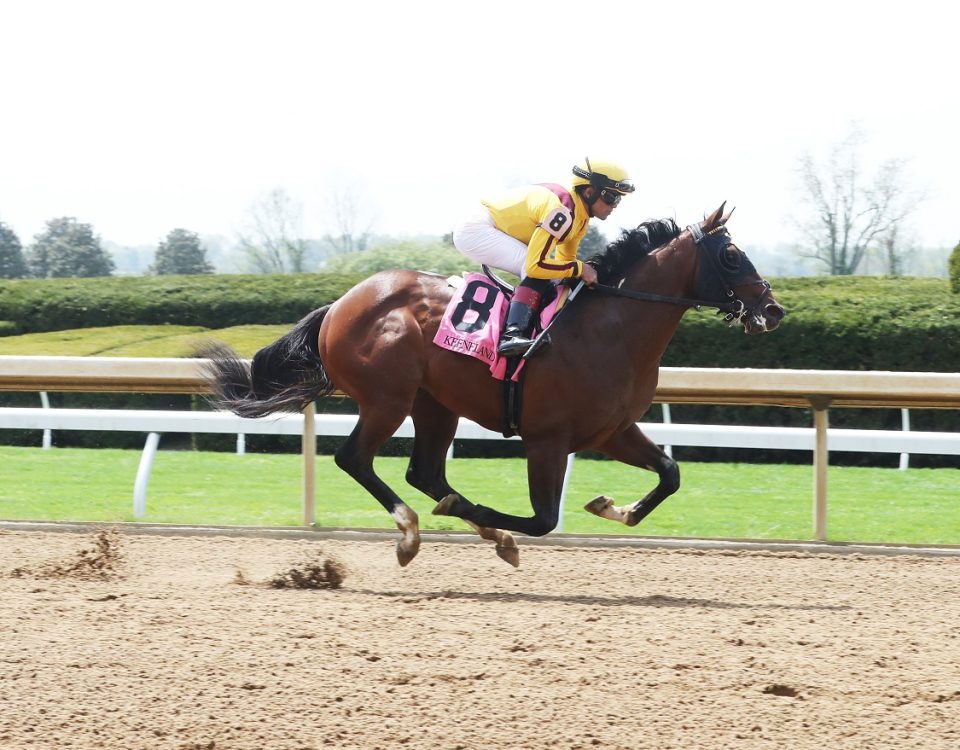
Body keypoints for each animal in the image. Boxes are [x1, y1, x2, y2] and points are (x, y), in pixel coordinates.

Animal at [206, 203, 784, 568]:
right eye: (732, 254)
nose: (773, 309)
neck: (611, 329)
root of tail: (340, 304)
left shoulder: (612, 431)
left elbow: (670, 474)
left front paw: (610, 507)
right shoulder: (547, 439)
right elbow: (544, 519)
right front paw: (485, 516)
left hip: (434, 404)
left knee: (425, 472)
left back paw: (472, 524)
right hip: (387, 398)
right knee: (356, 458)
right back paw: (414, 530)